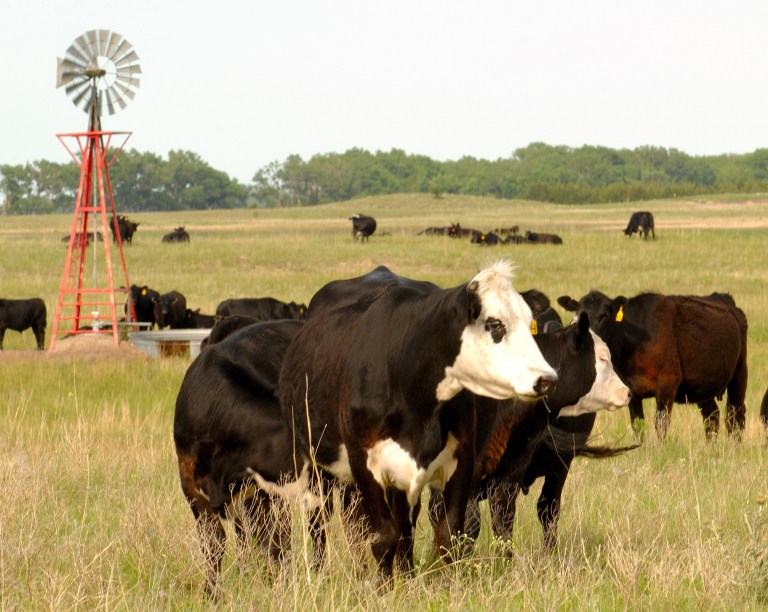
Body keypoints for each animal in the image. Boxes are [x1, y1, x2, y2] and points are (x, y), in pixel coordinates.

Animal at [173, 319, 329, 594]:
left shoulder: (263, 492)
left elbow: (273, 541)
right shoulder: (189, 482)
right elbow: (214, 542)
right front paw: (212, 593)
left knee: (313, 529)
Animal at [278, 262, 558, 583]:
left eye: (529, 322)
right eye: (494, 324)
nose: (547, 379)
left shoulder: (463, 459)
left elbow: (449, 534)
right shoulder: (363, 461)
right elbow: (383, 537)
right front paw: (383, 588)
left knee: (401, 525)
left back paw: (404, 572)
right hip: (314, 460)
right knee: (320, 518)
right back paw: (322, 572)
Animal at [557, 290, 748, 441]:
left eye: (604, 316)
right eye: (577, 314)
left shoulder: (667, 384)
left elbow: (661, 423)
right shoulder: (632, 390)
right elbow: (638, 425)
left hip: (739, 375)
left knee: (735, 417)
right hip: (703, 386)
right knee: (712, 418)